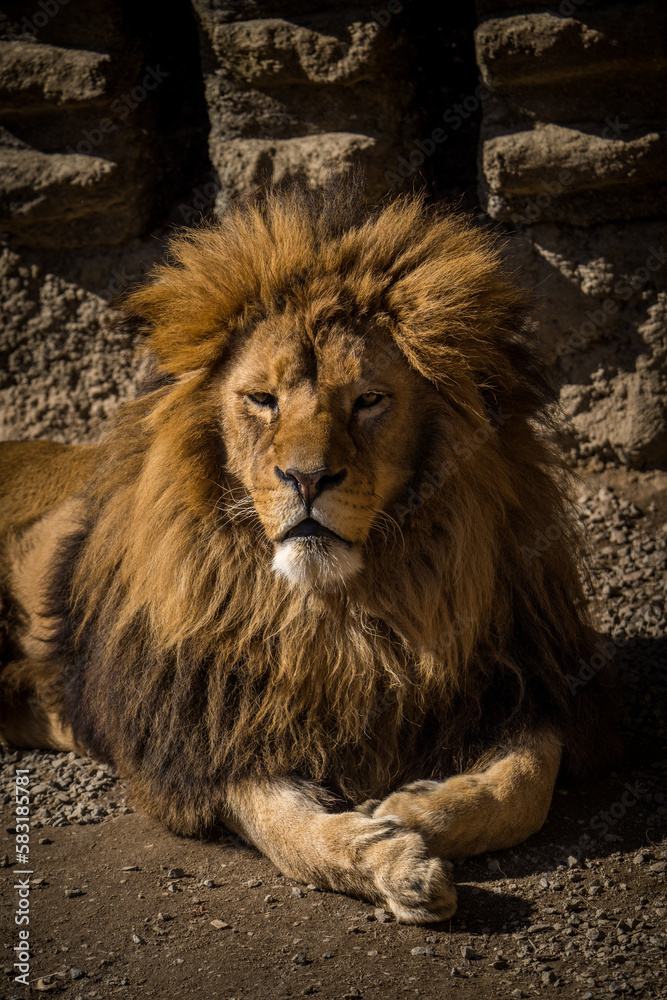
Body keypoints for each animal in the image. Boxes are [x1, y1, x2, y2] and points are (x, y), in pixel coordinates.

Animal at [0, 187, 614, 923]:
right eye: (262, 400)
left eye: (369, 400)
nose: (307, 477)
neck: (337, 612)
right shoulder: (203, 729)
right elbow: (286, 827)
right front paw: (390, 859)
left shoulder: (517, 676)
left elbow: (527, 783)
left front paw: (413, 809)